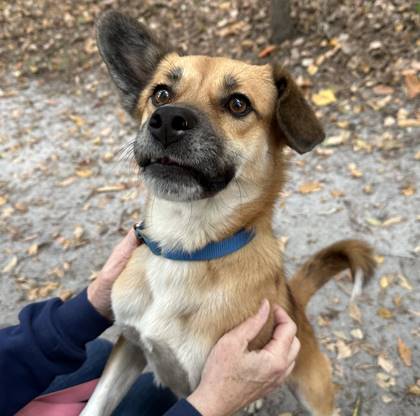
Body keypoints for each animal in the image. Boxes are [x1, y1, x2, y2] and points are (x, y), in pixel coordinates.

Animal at [80, 10, 376, 416]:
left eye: (238, 104)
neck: (185, 249)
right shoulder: (130, 346)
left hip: (312, 390)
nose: (167, 120)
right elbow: (96, 403)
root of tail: (293, 302)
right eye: (160, 94)